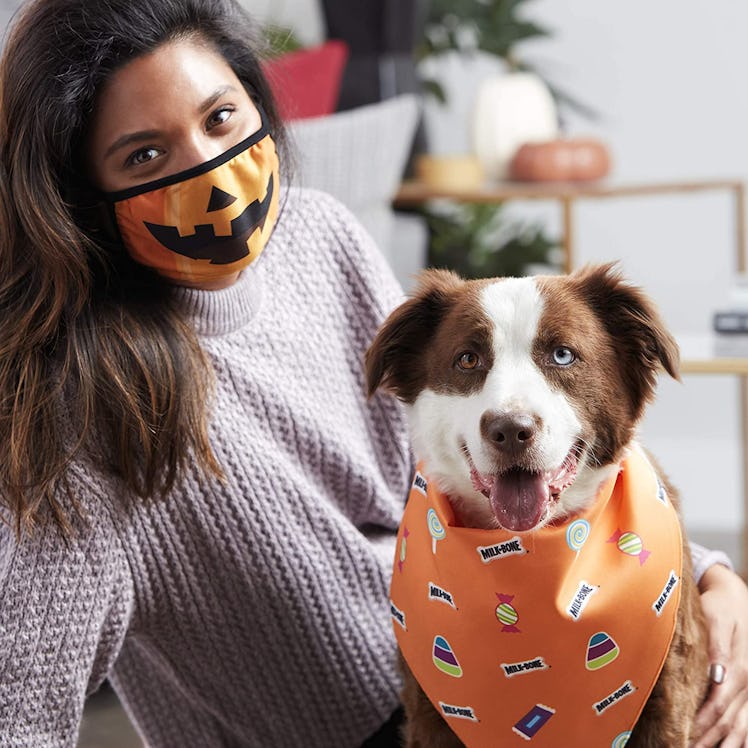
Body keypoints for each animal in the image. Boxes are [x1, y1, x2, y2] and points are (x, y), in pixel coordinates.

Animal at [366, 264, 708, 748]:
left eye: (563, 355)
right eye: (467, 359)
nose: (511, 429)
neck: (531, 548)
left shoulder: (666, 699)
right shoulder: (428, 714)